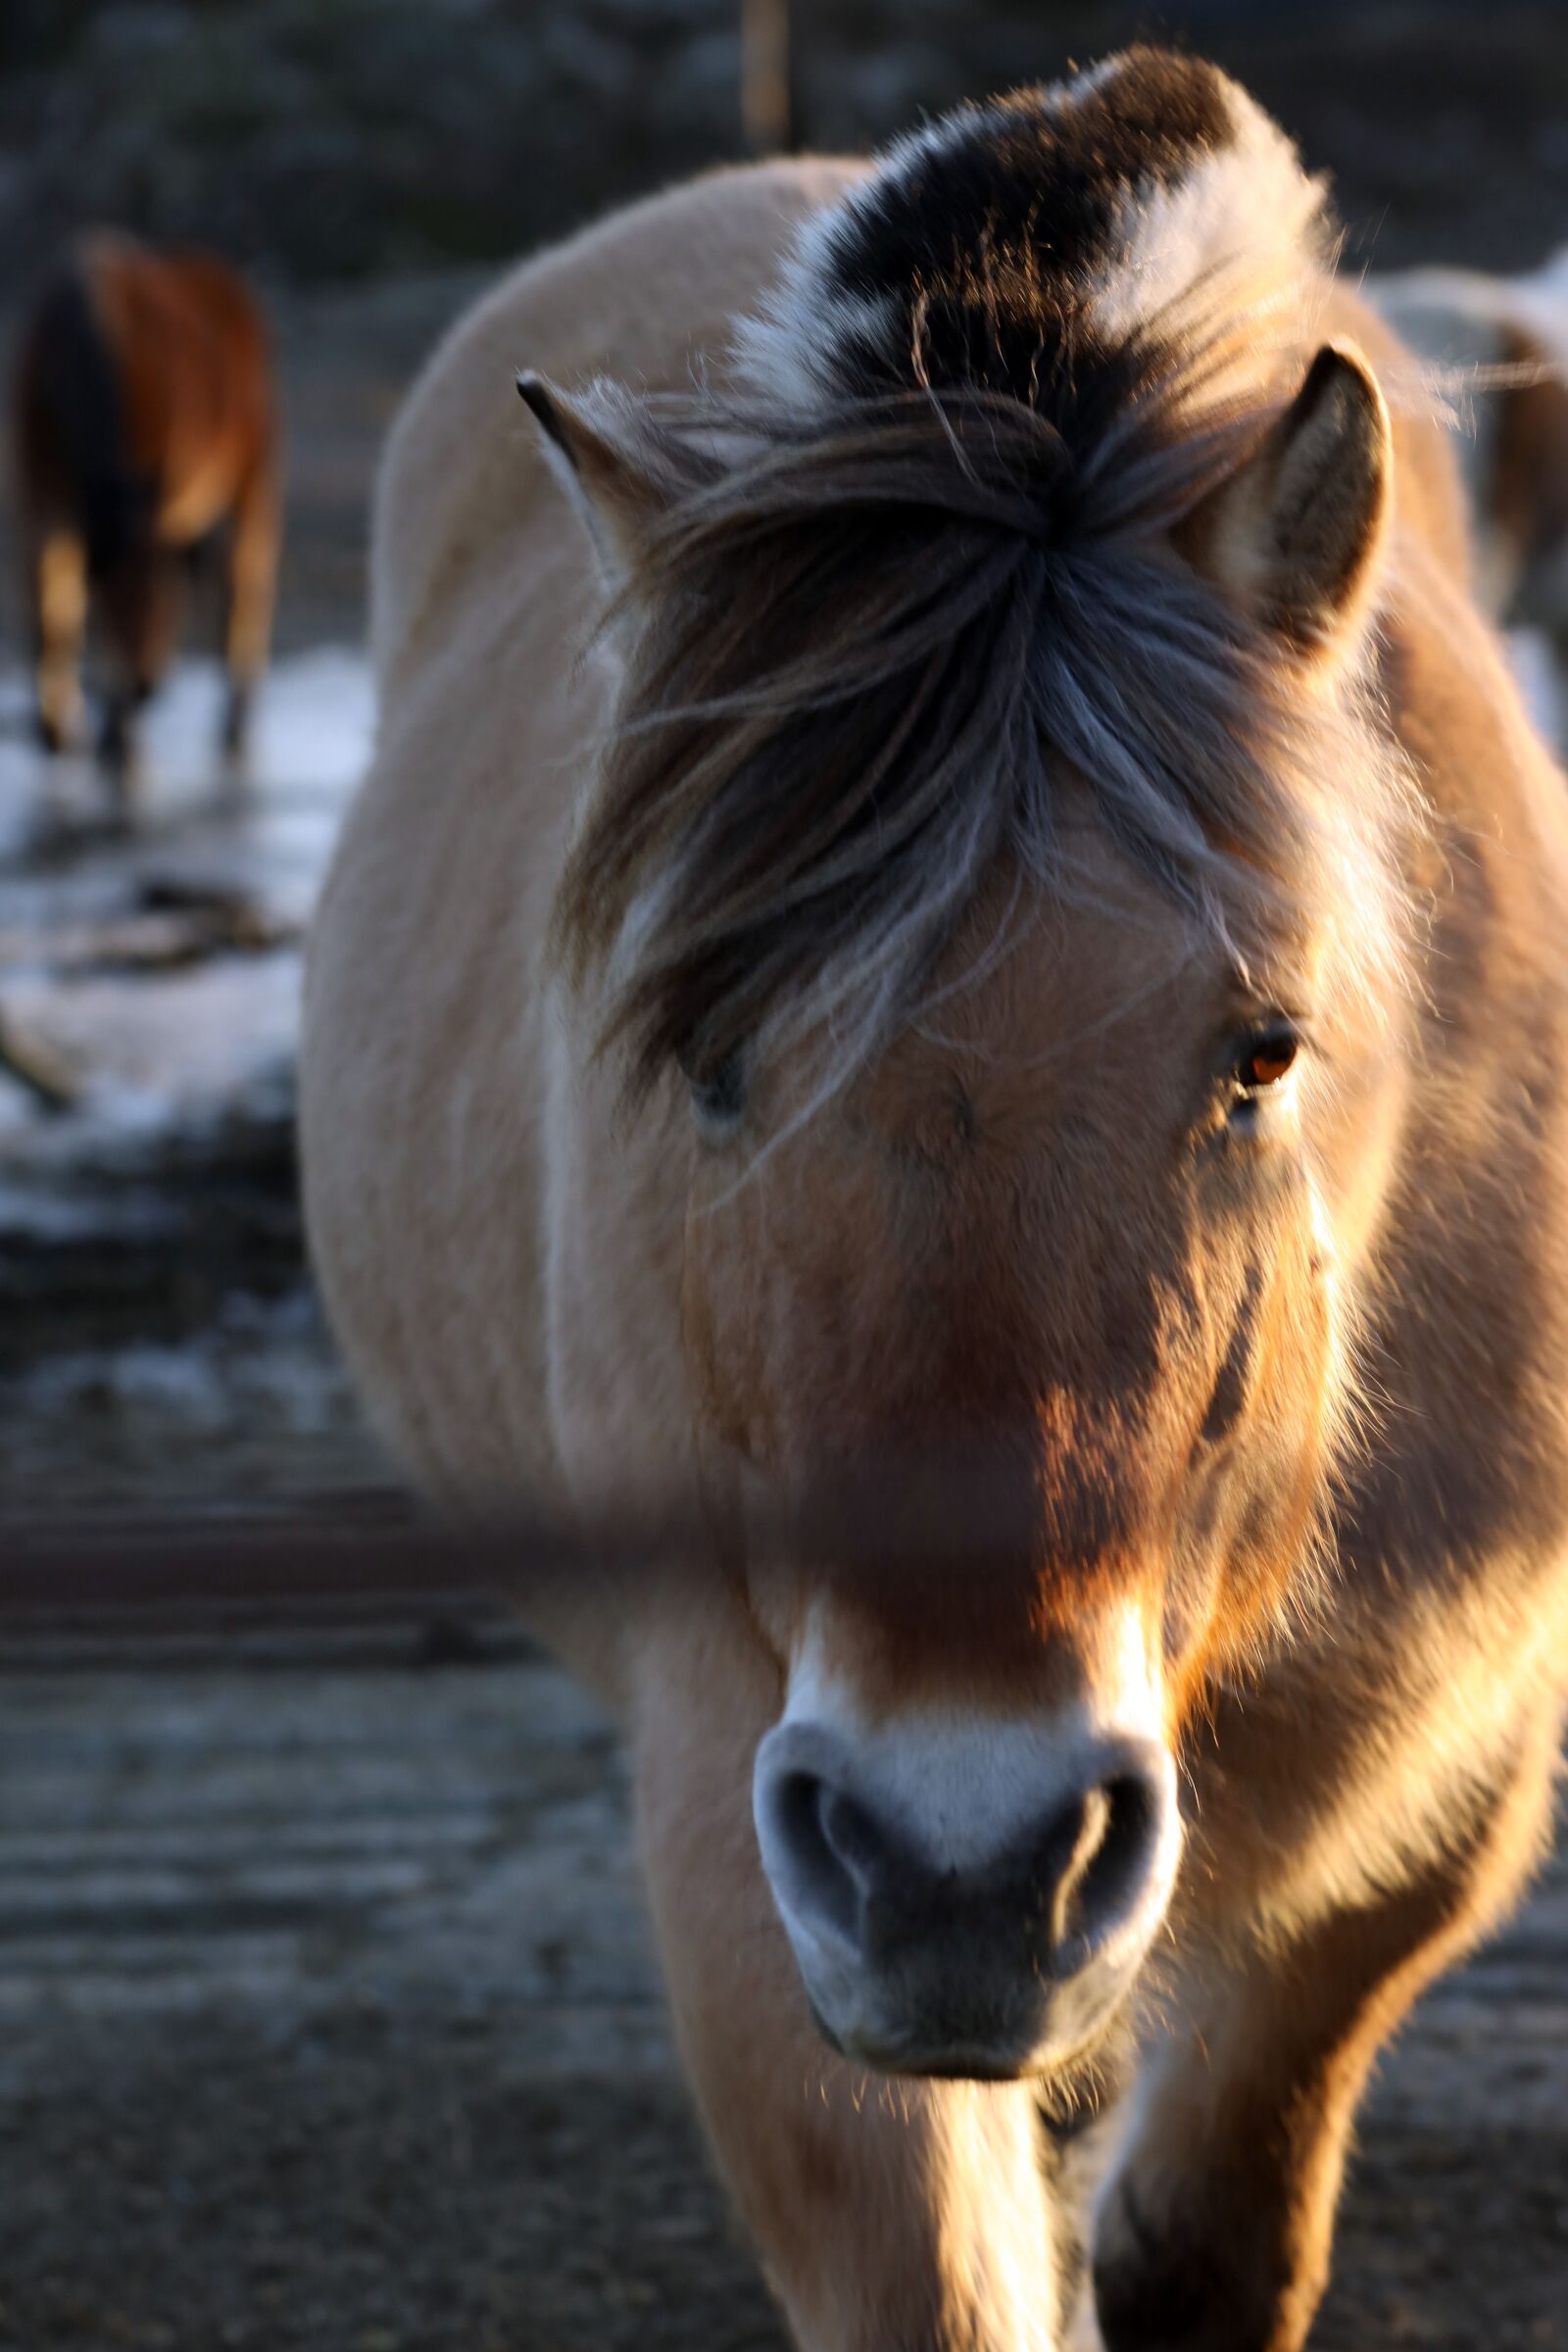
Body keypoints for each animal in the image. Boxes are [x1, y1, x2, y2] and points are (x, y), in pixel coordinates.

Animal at [10, 229, 281, 761]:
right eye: (107, 602)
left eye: (166, 597)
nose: (145, 687)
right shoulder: (40, 502)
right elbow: (52, 609)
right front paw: (55, 727)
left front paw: (114, 733)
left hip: (255, 469)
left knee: (244, 578)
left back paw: (236, 719)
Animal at [303, 50, 1568, 2352]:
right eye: (703, 1051)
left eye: (1262, 1050)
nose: (963, 1865)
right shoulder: (759, 1848)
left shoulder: (1434, 1809)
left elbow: (1210, 2228)